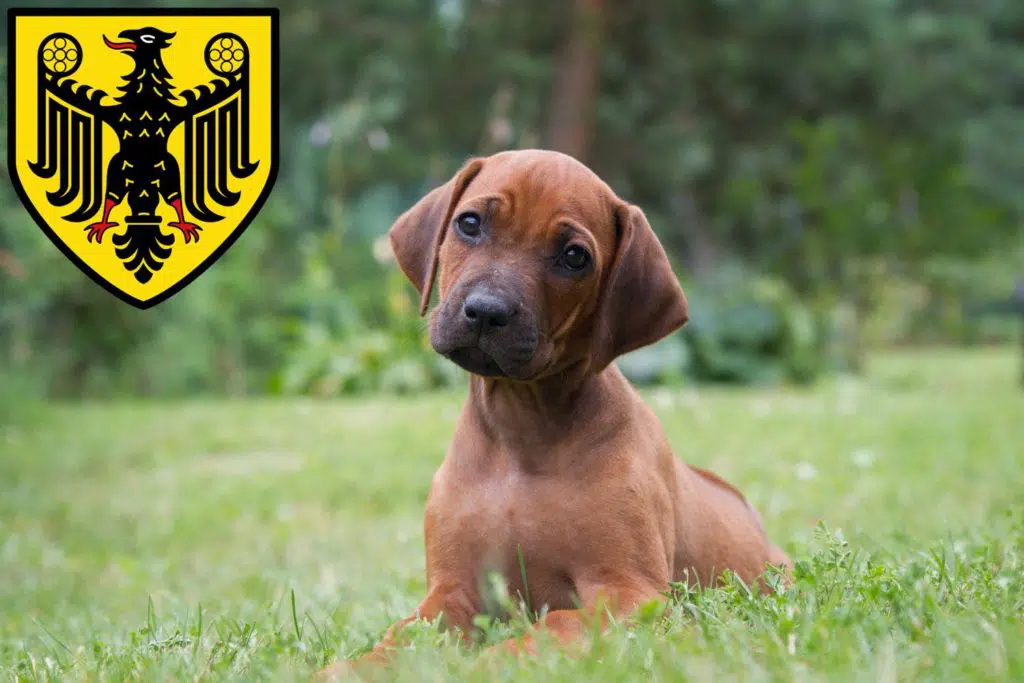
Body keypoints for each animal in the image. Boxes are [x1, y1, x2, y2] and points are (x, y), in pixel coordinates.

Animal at [319, 149, 790, 679]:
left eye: (574, 257)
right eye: (469, 223)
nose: (486, 311)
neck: (521, 431)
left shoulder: (630, 591)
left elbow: (558, 622)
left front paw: (494, 663)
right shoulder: (452, 591)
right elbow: (404, 636)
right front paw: (353, 667)